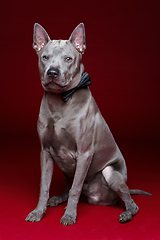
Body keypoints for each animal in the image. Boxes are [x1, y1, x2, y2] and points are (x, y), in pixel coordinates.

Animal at [25, 22, 151, 225]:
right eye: (45, 57)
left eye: (68, 59)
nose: (52, 73)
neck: (60, 101)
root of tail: (97, 199)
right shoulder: (45, 152)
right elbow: (44, 186)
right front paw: (38, 212)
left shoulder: (84, 153)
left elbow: (75, 189)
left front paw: (69, 215)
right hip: (66, 169)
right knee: (68, 187)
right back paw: (58, 199)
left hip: (110, 173)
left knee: (129, 201)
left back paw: (126, 213)